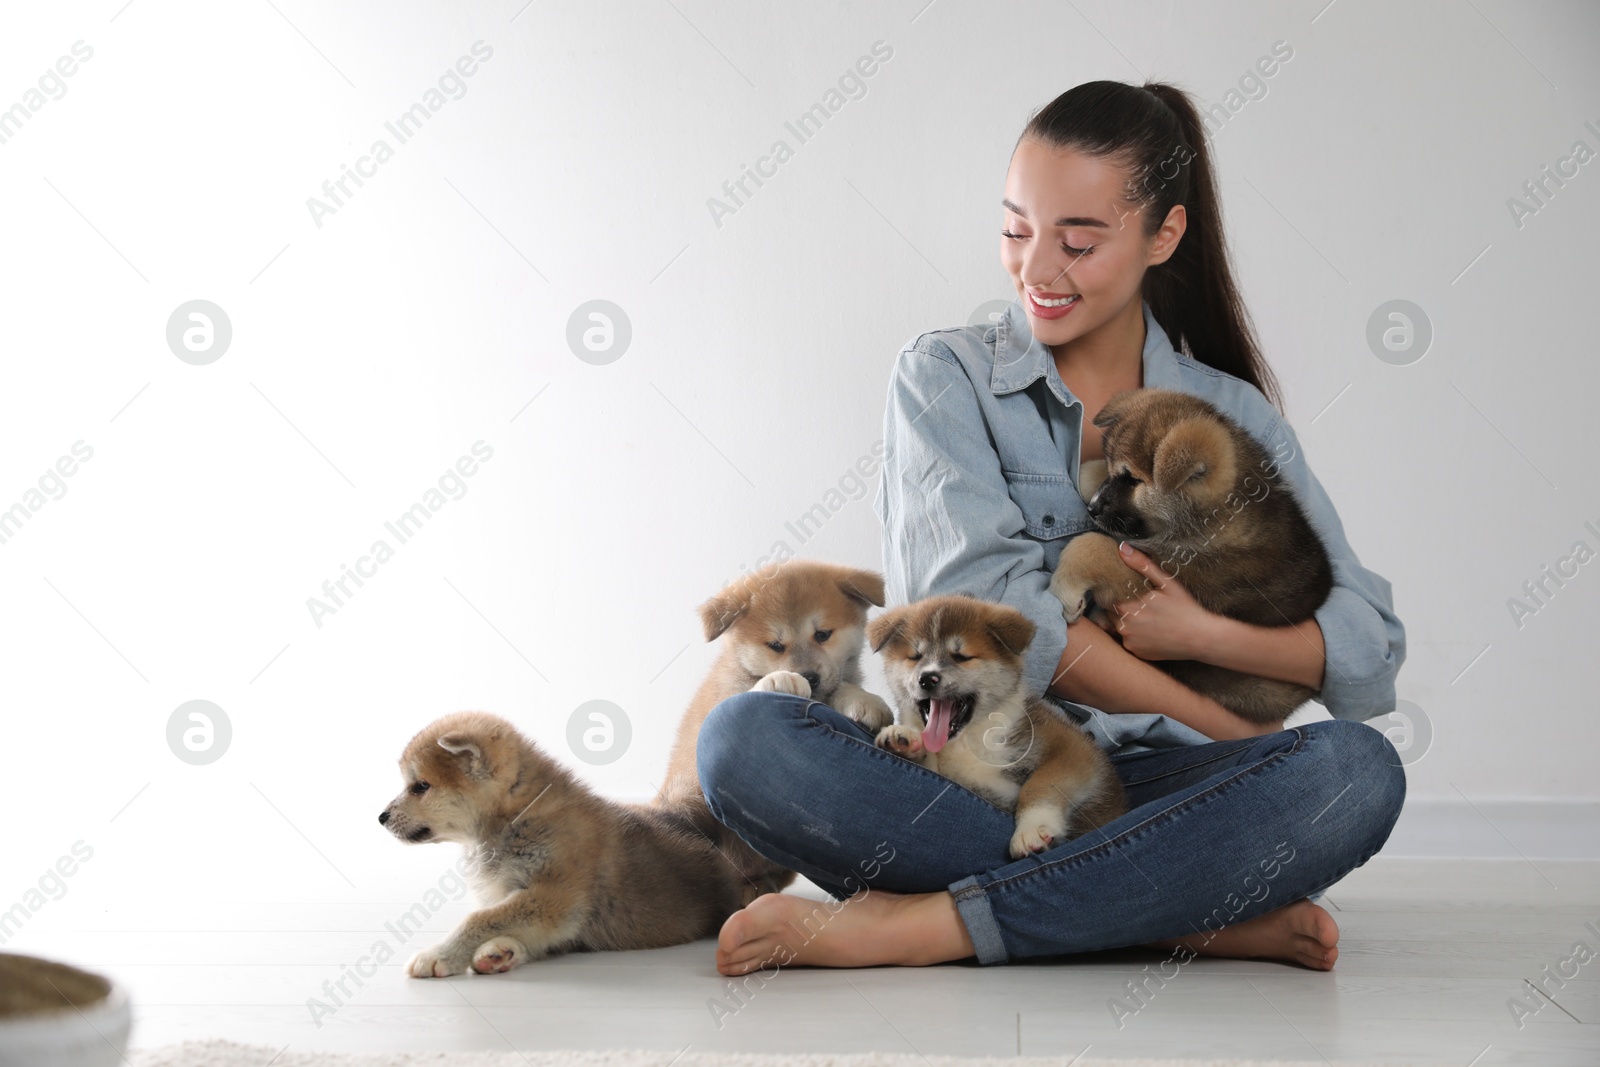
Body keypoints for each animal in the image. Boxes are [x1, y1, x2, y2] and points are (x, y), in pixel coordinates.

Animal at [380, 710, 748, 979]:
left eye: (420, 786)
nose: (381, 817)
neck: (515, 820)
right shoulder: (544, 908)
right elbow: (508, 922)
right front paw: (501, 951)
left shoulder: (555, 897)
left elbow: (480, 918)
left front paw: (440, 954)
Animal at [652, 559, 902, 902]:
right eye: (775, 646)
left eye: (822, 634)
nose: (808, 676)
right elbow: (753, 689)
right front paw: (779, 679)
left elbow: (841, 687)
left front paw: (863, 700)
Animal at [864, 591, 1126, 857]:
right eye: (915, 656)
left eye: (962, 657)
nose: (927, 678)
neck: (969, 739)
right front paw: (905, 741)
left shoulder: (1071, 747)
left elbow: (1041, 784)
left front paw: (1031, 828)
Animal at [1049, 385, 1337, 726]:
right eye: (1114, 468)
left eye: (1133, 480)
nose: (1093, 508)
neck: (1218, 515)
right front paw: (1086, 474)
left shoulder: (1162, 573)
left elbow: (1091, 546)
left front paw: (1067, 592)